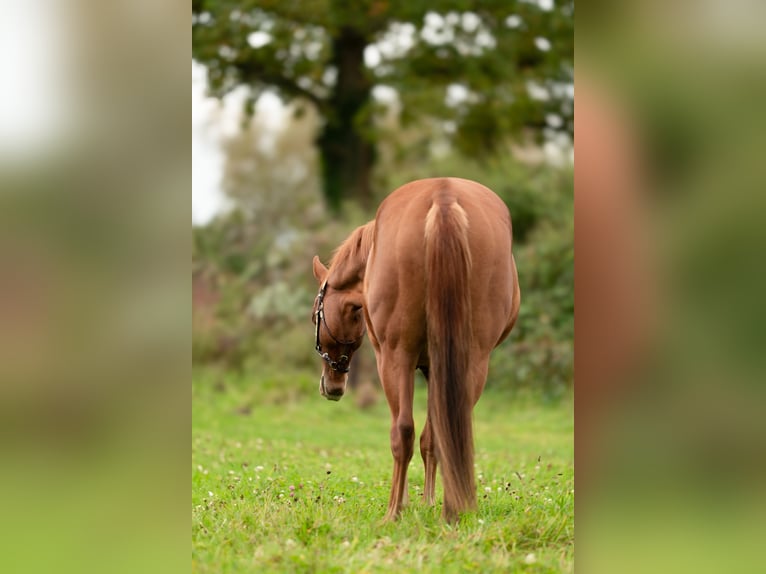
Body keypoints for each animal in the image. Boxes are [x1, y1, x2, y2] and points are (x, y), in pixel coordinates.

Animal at [312, 178, 520, 524]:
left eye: (315, 315)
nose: (333, 386)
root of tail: (444, 195)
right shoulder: (437, 367)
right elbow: (433, 438)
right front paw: (428, 501)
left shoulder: (395, 359)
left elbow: (410, 433)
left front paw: (407, 503)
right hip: (474, 360)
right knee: (452, 432)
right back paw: (453, 510)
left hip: (397, 357)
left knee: (402, 432)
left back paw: (393, 512)